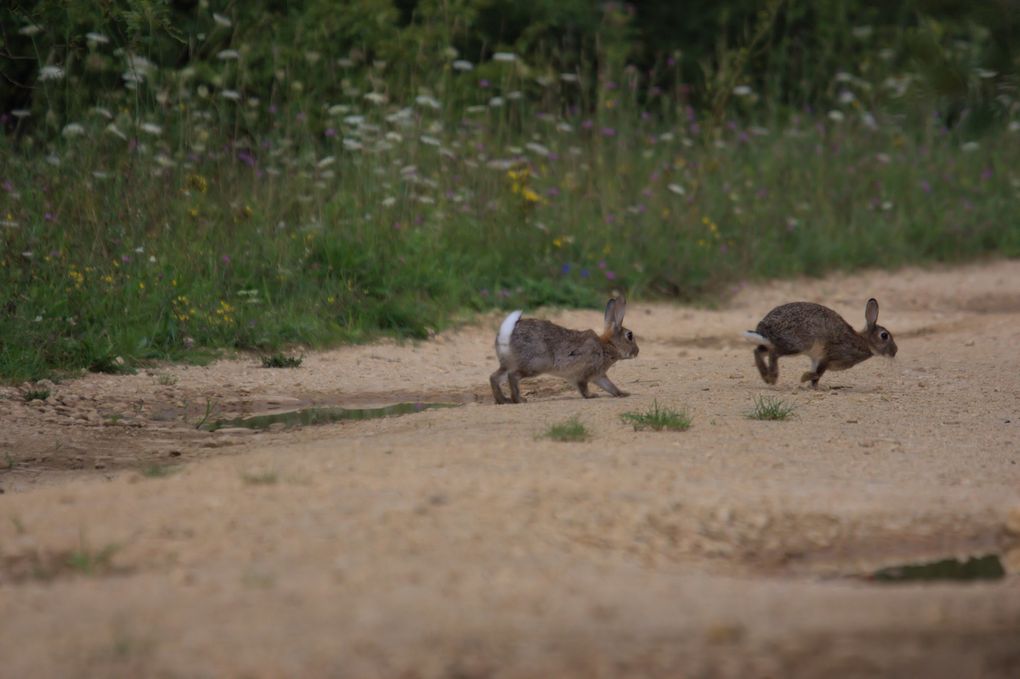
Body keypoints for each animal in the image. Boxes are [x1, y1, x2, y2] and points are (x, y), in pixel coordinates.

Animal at [487, 295, 636, 401]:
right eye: (629, 336)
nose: (637, 352)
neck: (608, 345)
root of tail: (507, 334)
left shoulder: (598, 375)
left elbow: (609, 385)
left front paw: (623, 393)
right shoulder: (584, 373)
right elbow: (583, 387)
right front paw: (592, 396)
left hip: (509, 363)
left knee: (494, 377)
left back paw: (503, 400)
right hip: (537, 363)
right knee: (513, 376)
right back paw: (519, 399)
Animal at [742, 295, 901, 385]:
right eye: (884, 335)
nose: (895, 351)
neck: (864, 342)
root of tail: (764, 327)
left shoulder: (817, 359)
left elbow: (816, 374)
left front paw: (811, 386)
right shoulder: (829, 356)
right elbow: (817, 373)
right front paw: (804, 379)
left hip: (773, 342)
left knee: (758, 351)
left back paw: (766, 376)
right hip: (798, 344)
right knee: (774, 354)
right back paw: (773, 377)